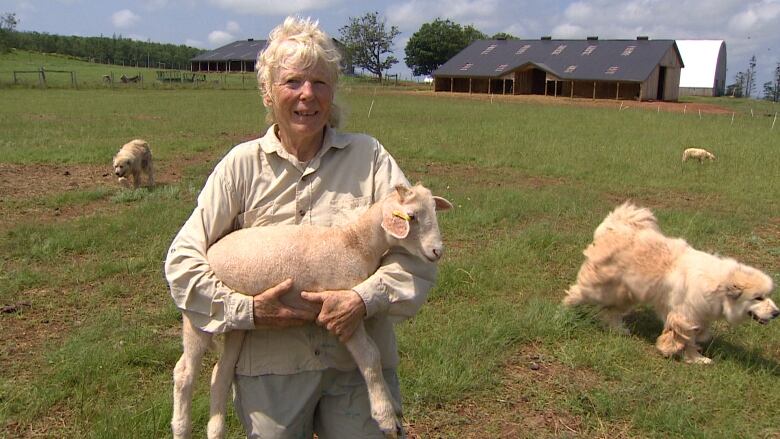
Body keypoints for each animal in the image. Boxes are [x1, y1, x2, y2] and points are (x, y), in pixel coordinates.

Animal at [171, 185, 450, 439]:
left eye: (434, 210)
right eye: (412, 216)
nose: (437, 251)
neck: (356, 243)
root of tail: (209, 251)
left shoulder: (350, 308)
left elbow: (375, 353)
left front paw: (390, 406)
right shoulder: (341, 309)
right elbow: (370, 356)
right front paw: (385, 416)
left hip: (237, 323)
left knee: (221, 372)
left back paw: (215, 430)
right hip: (198, 317)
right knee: (184, 372)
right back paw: (181, 428)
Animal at [564, 203, 776, 364]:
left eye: (767, 296)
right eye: (758, 297)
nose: (776, 313)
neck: (719, 286)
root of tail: (617, 226)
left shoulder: (697, 318)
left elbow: (692, 338)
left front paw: (695, 358)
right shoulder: (685, 315)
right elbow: (683, 337)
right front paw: (677, 352)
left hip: (626, 293)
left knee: (610, 312)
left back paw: (619, 330)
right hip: (602, 287)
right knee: (578, 293)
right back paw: (565, 310)